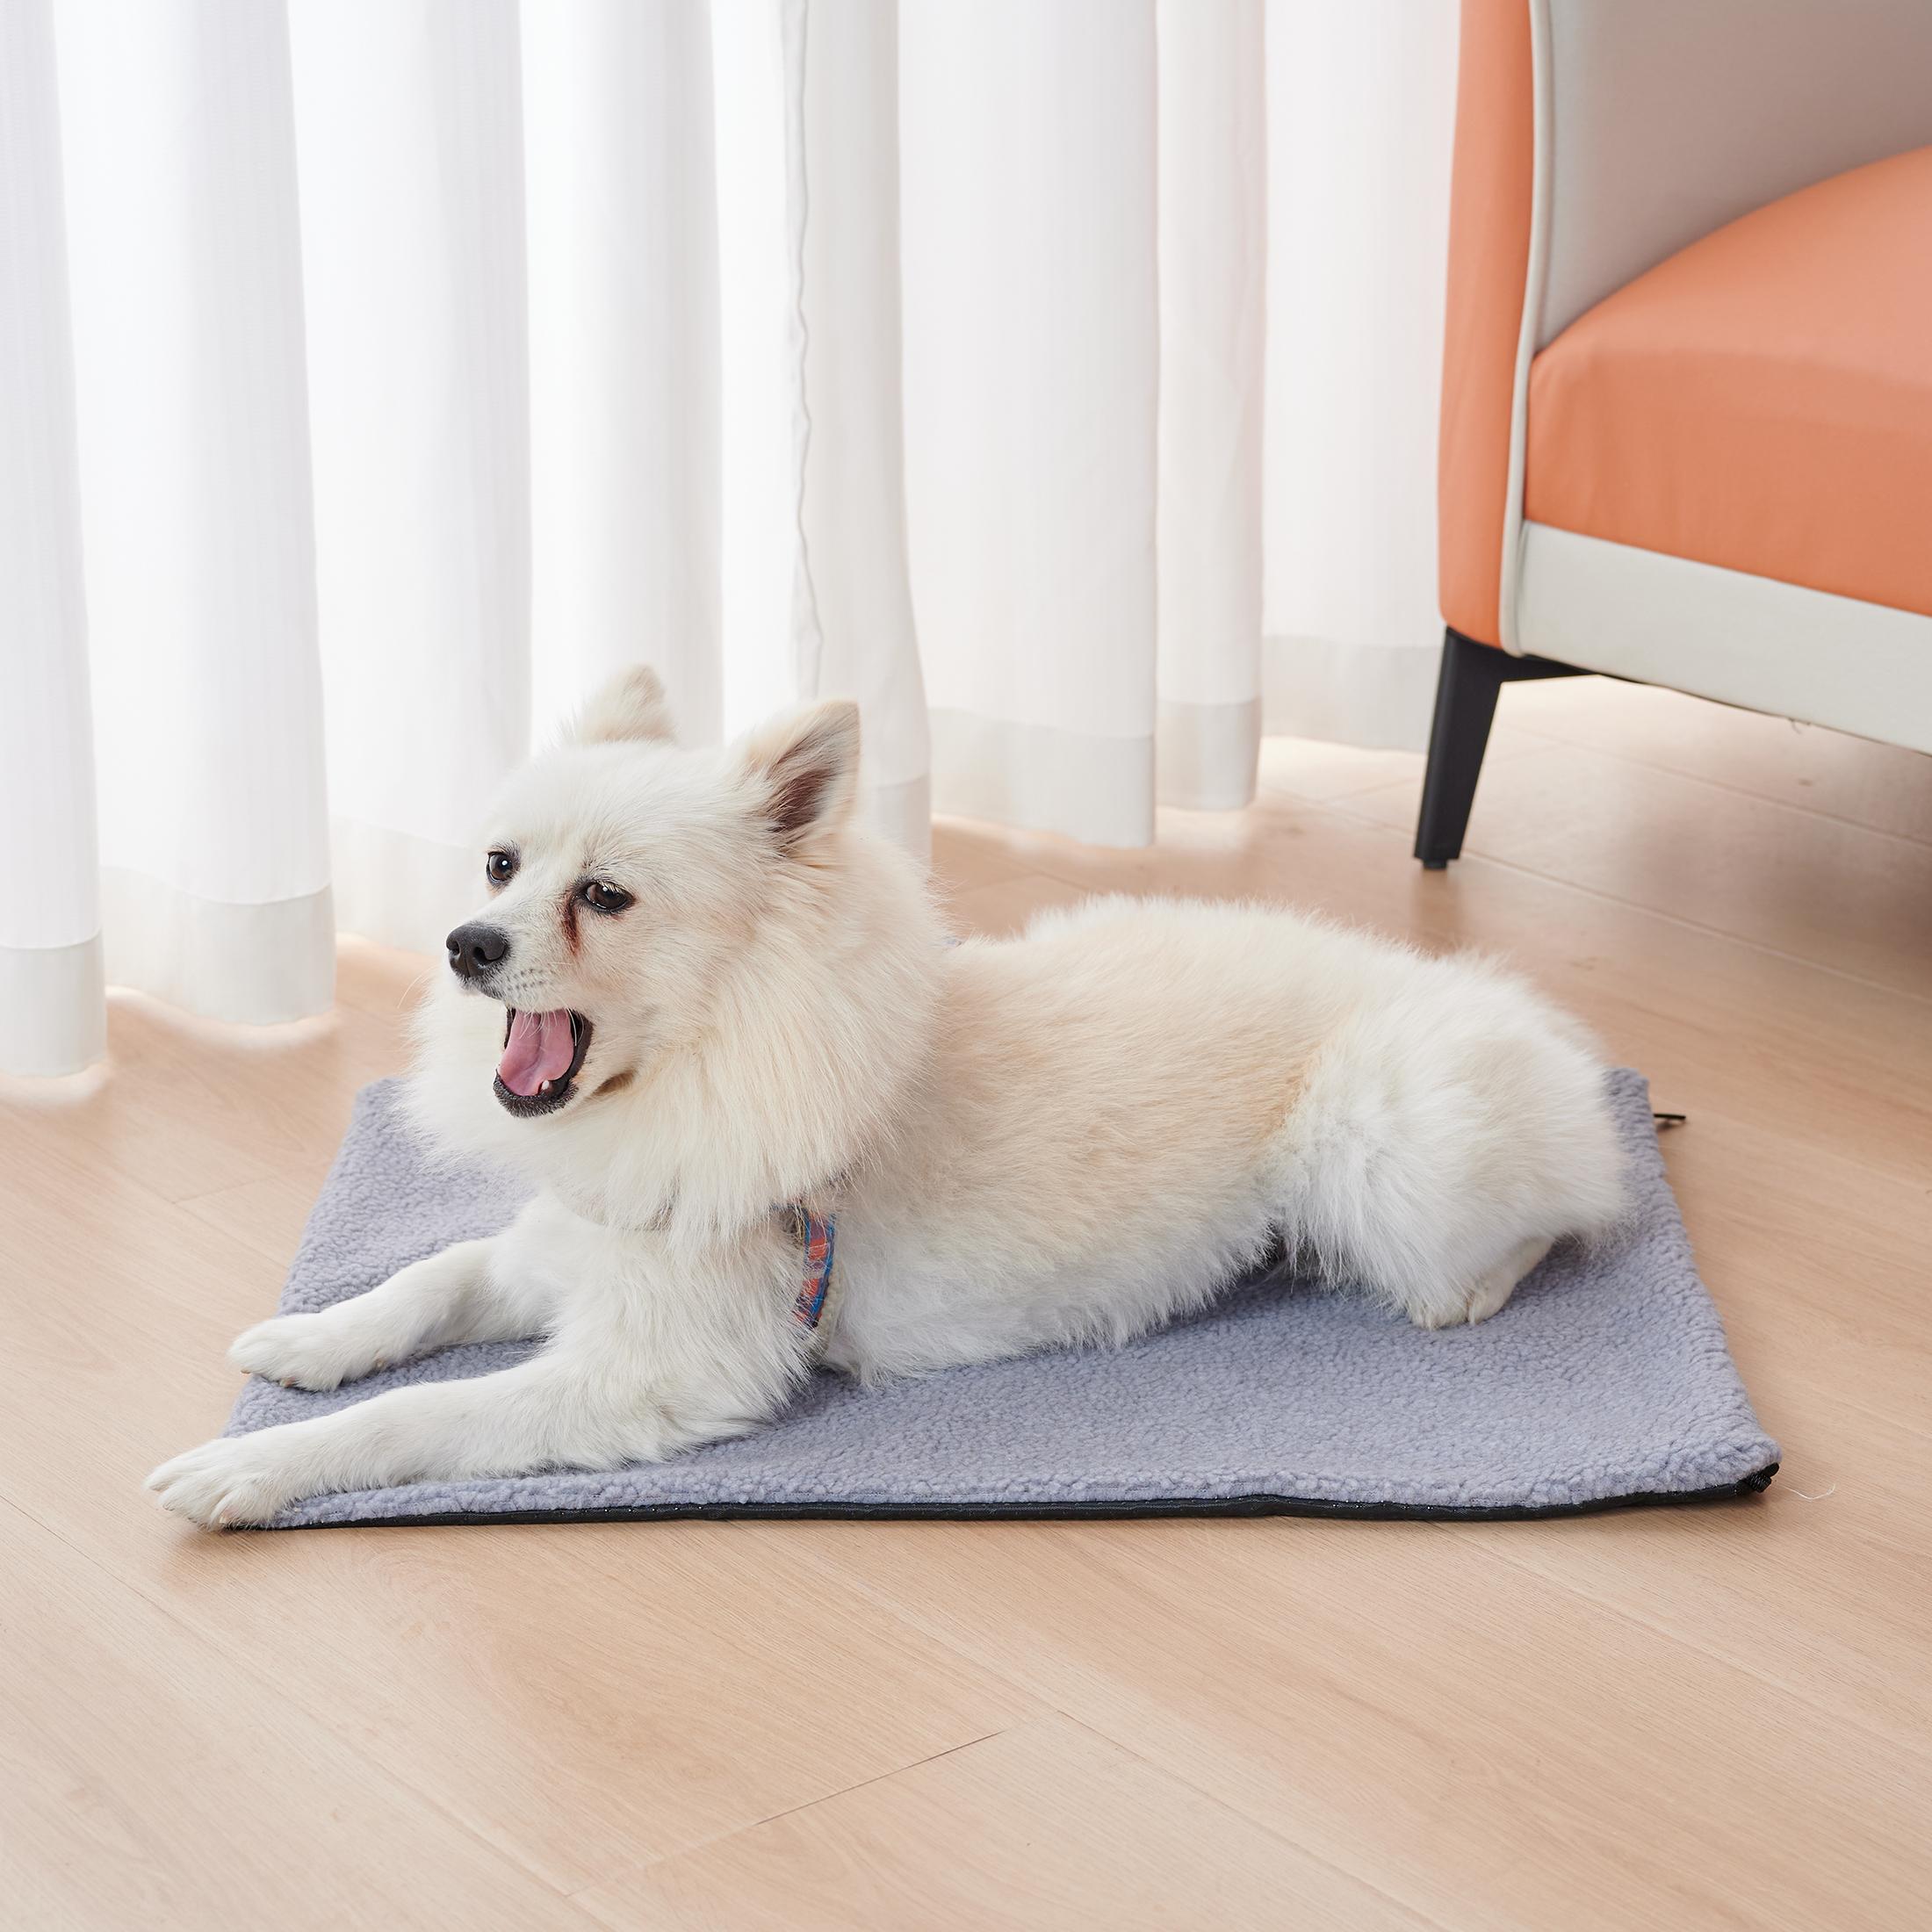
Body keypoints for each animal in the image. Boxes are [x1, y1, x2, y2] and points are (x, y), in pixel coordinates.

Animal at [148, 665, 1625, 1527]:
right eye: (503, 865)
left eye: (604, 897)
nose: (465, 943)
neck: (693, 1081)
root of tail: (1521, 1022)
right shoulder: (566, 1245)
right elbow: (428, 1284)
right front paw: (309, 1339)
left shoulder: (642, 1375)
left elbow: (416, 1418)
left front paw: (250, 1469)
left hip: (1393, 1146)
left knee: (1552, 1218)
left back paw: (1468, 1283)